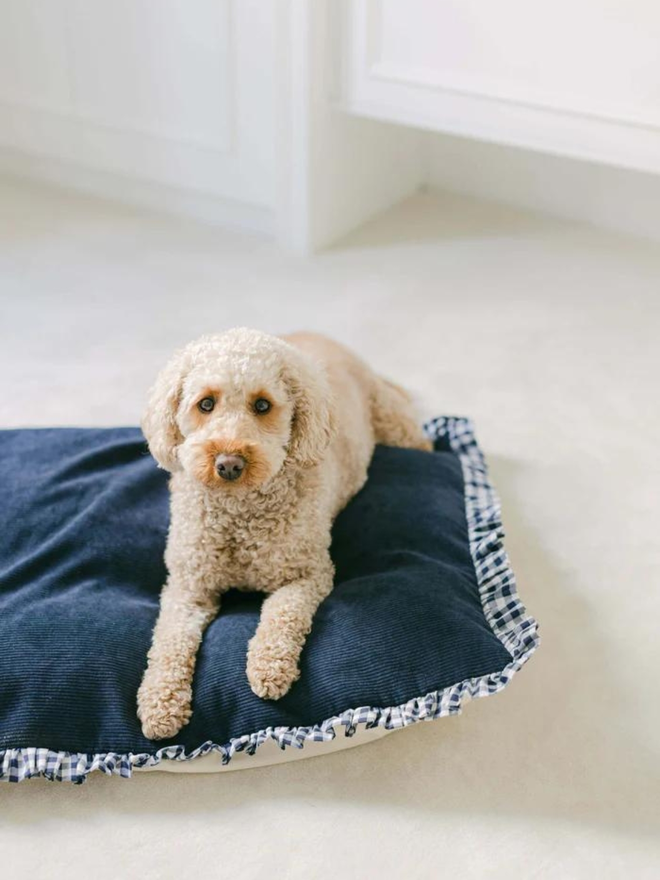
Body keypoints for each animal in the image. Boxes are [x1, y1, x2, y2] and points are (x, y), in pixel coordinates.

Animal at [137, 326, 430, 740]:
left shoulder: (307, 575)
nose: (229, 463)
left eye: (262, 406)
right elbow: (168, 641)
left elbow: (282, 616)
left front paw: (268, 668)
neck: (240, 512)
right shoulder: (188, 588)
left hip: (396, 427)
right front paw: (160, 705)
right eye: (205, 404)